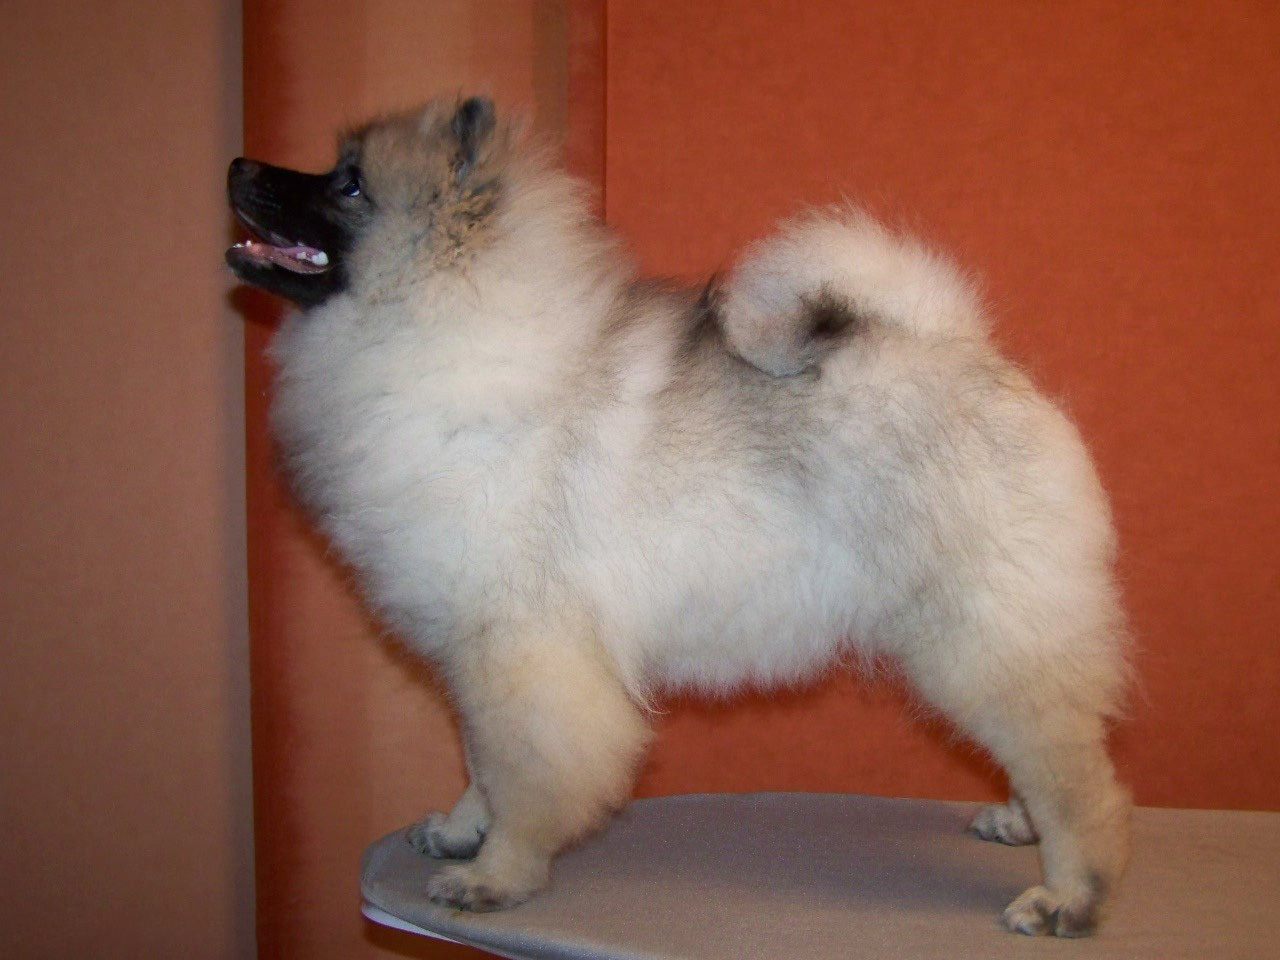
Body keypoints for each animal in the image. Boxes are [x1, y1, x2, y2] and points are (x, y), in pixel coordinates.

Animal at [227, 95, 1131, 937]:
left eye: (348, 185)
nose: (237, 165)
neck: (440, 328)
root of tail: (968, 351)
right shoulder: (476, 653)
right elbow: (481, 760)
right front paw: (460, 831)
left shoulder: (522, 649)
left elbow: (522, 773)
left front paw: (497, 874)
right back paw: (1018, 823)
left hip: (980, 630)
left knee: (1074, 774)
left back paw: (1066, 893)